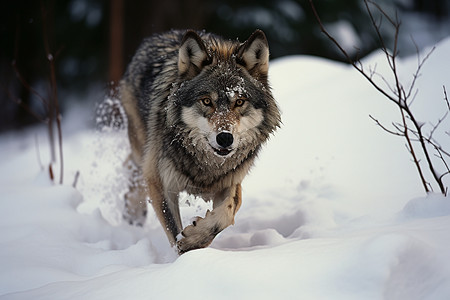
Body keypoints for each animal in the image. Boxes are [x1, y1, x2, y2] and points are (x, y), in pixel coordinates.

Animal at [119, 28, 282, 253]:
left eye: (239, 101)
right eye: (206, 101)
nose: (225, 138)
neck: (206, 165)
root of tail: (165, 33)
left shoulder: (231, 181)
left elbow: (225, 214)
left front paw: (194, 239)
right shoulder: (160, 183)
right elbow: (173, 229)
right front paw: (185, 251)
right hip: (142, 148)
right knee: (134, 168)